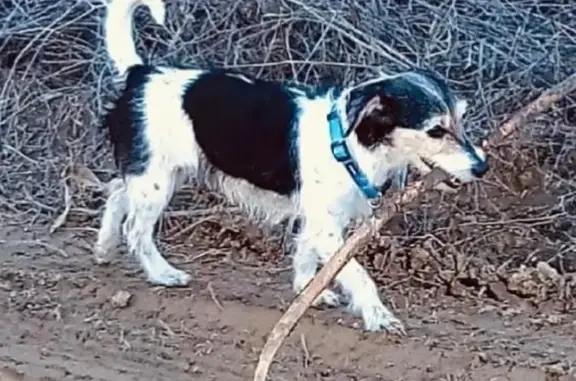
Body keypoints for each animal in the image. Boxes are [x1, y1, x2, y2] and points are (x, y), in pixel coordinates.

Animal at [97, 0, 488, 332]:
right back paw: (161, 273)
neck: (348, 142)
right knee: (136, 228)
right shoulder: (327, 226)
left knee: (116, 190)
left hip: (156, 172)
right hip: (156, 180)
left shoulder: (321, 220)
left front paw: (308, 291)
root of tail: (140, 73)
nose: (481, 168)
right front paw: (379, 316)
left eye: (461, 119)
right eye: (435, 130)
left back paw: (103, 246)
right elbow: (357, 273)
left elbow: (306, 256)